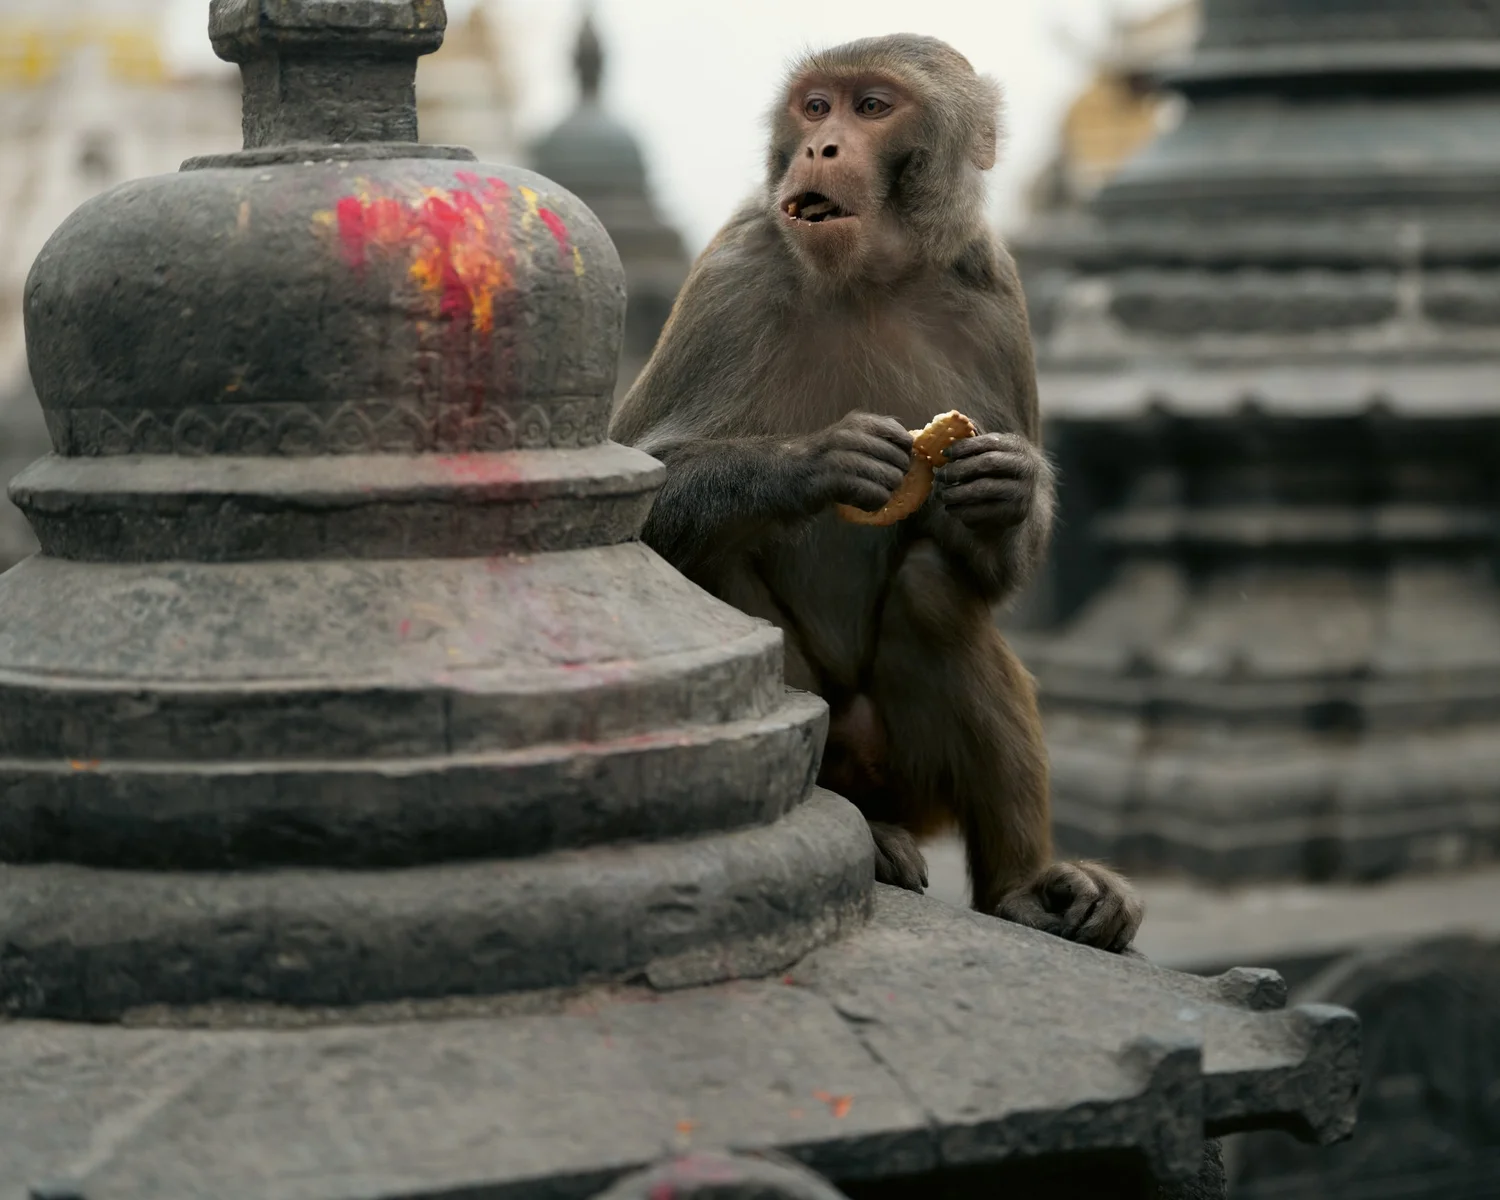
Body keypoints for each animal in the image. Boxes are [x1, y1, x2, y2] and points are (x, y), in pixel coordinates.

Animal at [609, 35, 1141, 953]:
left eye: (873, 108)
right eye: (816, 107)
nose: (821, 148)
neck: (869, 276)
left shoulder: (995, 291)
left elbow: (991, 572)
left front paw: (1007, 487)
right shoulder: (732, 272)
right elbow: (643, 503)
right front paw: (817, 460)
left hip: (911, 773)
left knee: (933, 590)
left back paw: (1027, 887)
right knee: (717, 564)